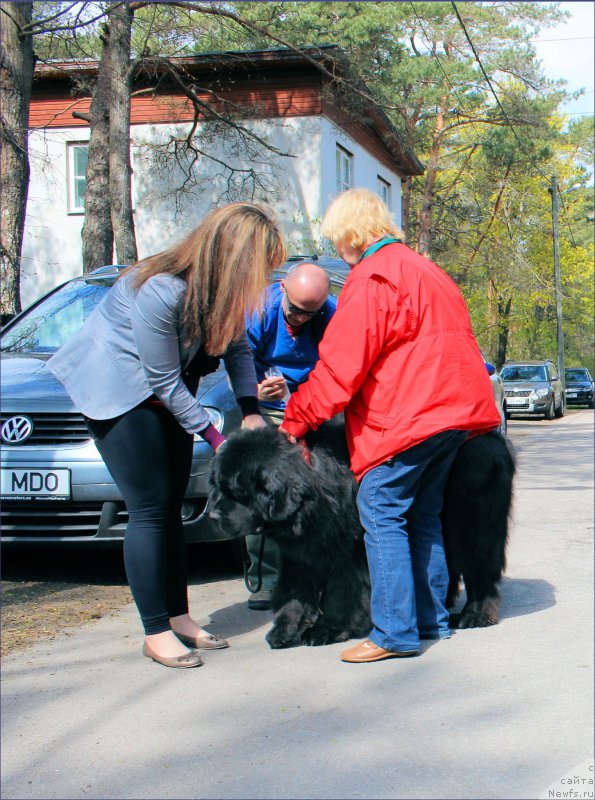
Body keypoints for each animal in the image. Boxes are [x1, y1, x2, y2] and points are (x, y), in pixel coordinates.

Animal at [207, 422, 516, 648]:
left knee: (479, 570)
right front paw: (284, 627)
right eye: (218, 486)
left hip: (472, 525)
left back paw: (474, 615)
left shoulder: (349, 551)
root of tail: (495, 439)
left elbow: (342, 593)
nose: (213, 516)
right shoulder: (301, 554)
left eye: (236, 492)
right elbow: (294, 590)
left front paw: (328, 629)